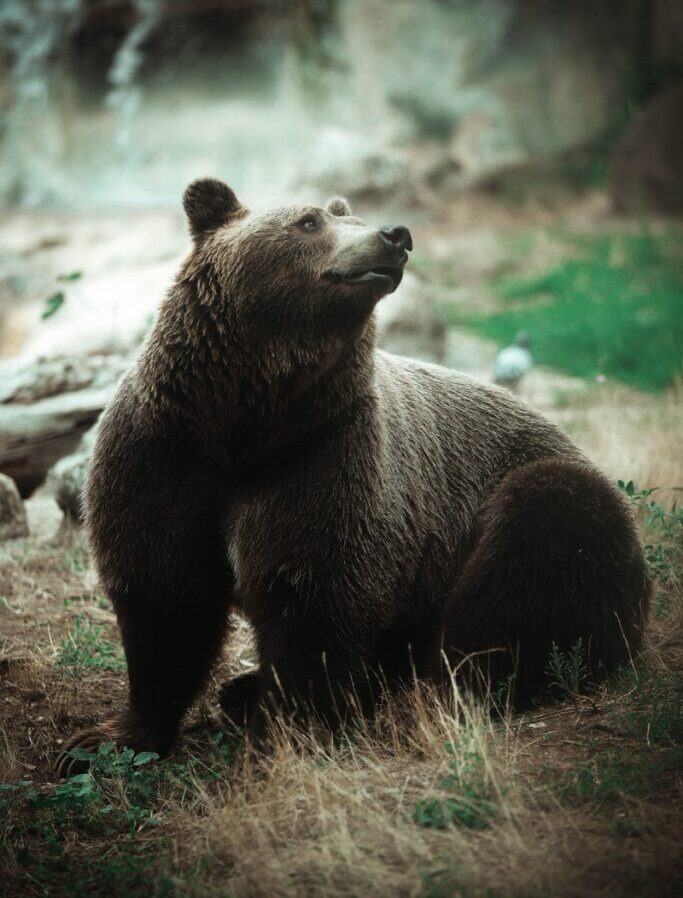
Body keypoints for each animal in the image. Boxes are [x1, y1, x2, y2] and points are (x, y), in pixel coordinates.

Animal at [56, 178, 650, 775]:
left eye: (350, 216)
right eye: (309, 221)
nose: (395, 236)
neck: (245, 422)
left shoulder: (324, 459)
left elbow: (313, 598)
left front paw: (283, 737)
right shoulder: (166, 458)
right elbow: (165, 601)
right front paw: (100, 742)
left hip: (532, 502)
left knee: (532, 559)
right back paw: (244, 690)